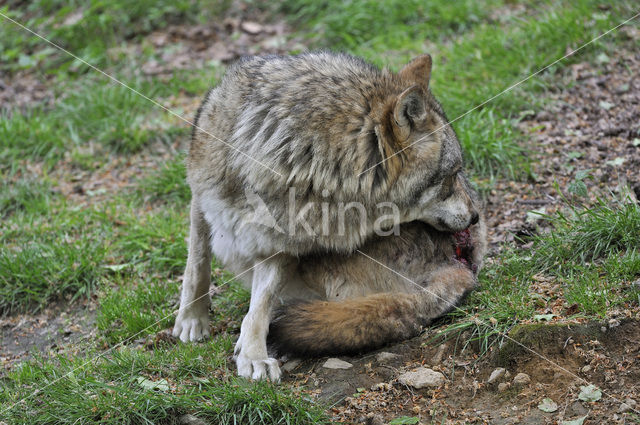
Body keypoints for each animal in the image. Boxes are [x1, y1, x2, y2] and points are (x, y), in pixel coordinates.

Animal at [172, 51, 482, 380]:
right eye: (452, 175)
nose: (476, 216)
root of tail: (463, 269)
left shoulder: (279, 245)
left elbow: (259, 307)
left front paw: (253, 355)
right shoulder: (201, 198)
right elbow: (197, 267)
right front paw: (192, 320)